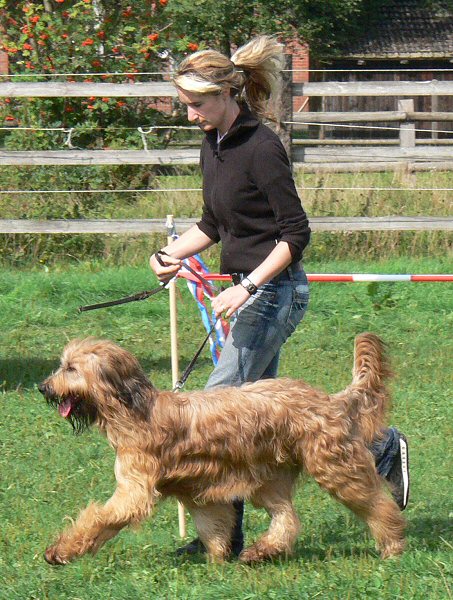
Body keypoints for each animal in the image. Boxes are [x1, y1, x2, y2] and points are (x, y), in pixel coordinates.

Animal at [38, 333, 405, 565]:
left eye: (71, 368)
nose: (43, 387)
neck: (134, 411)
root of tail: (330, 400)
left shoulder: (135, 489)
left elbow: (101, 518)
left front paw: (60, 551)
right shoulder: (200, 493)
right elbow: (212, 525)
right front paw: (217, 561)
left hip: (333, 465)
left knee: (376, 503)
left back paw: (392, 542)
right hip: (269, 477)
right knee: (287, 517)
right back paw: (261, 551)